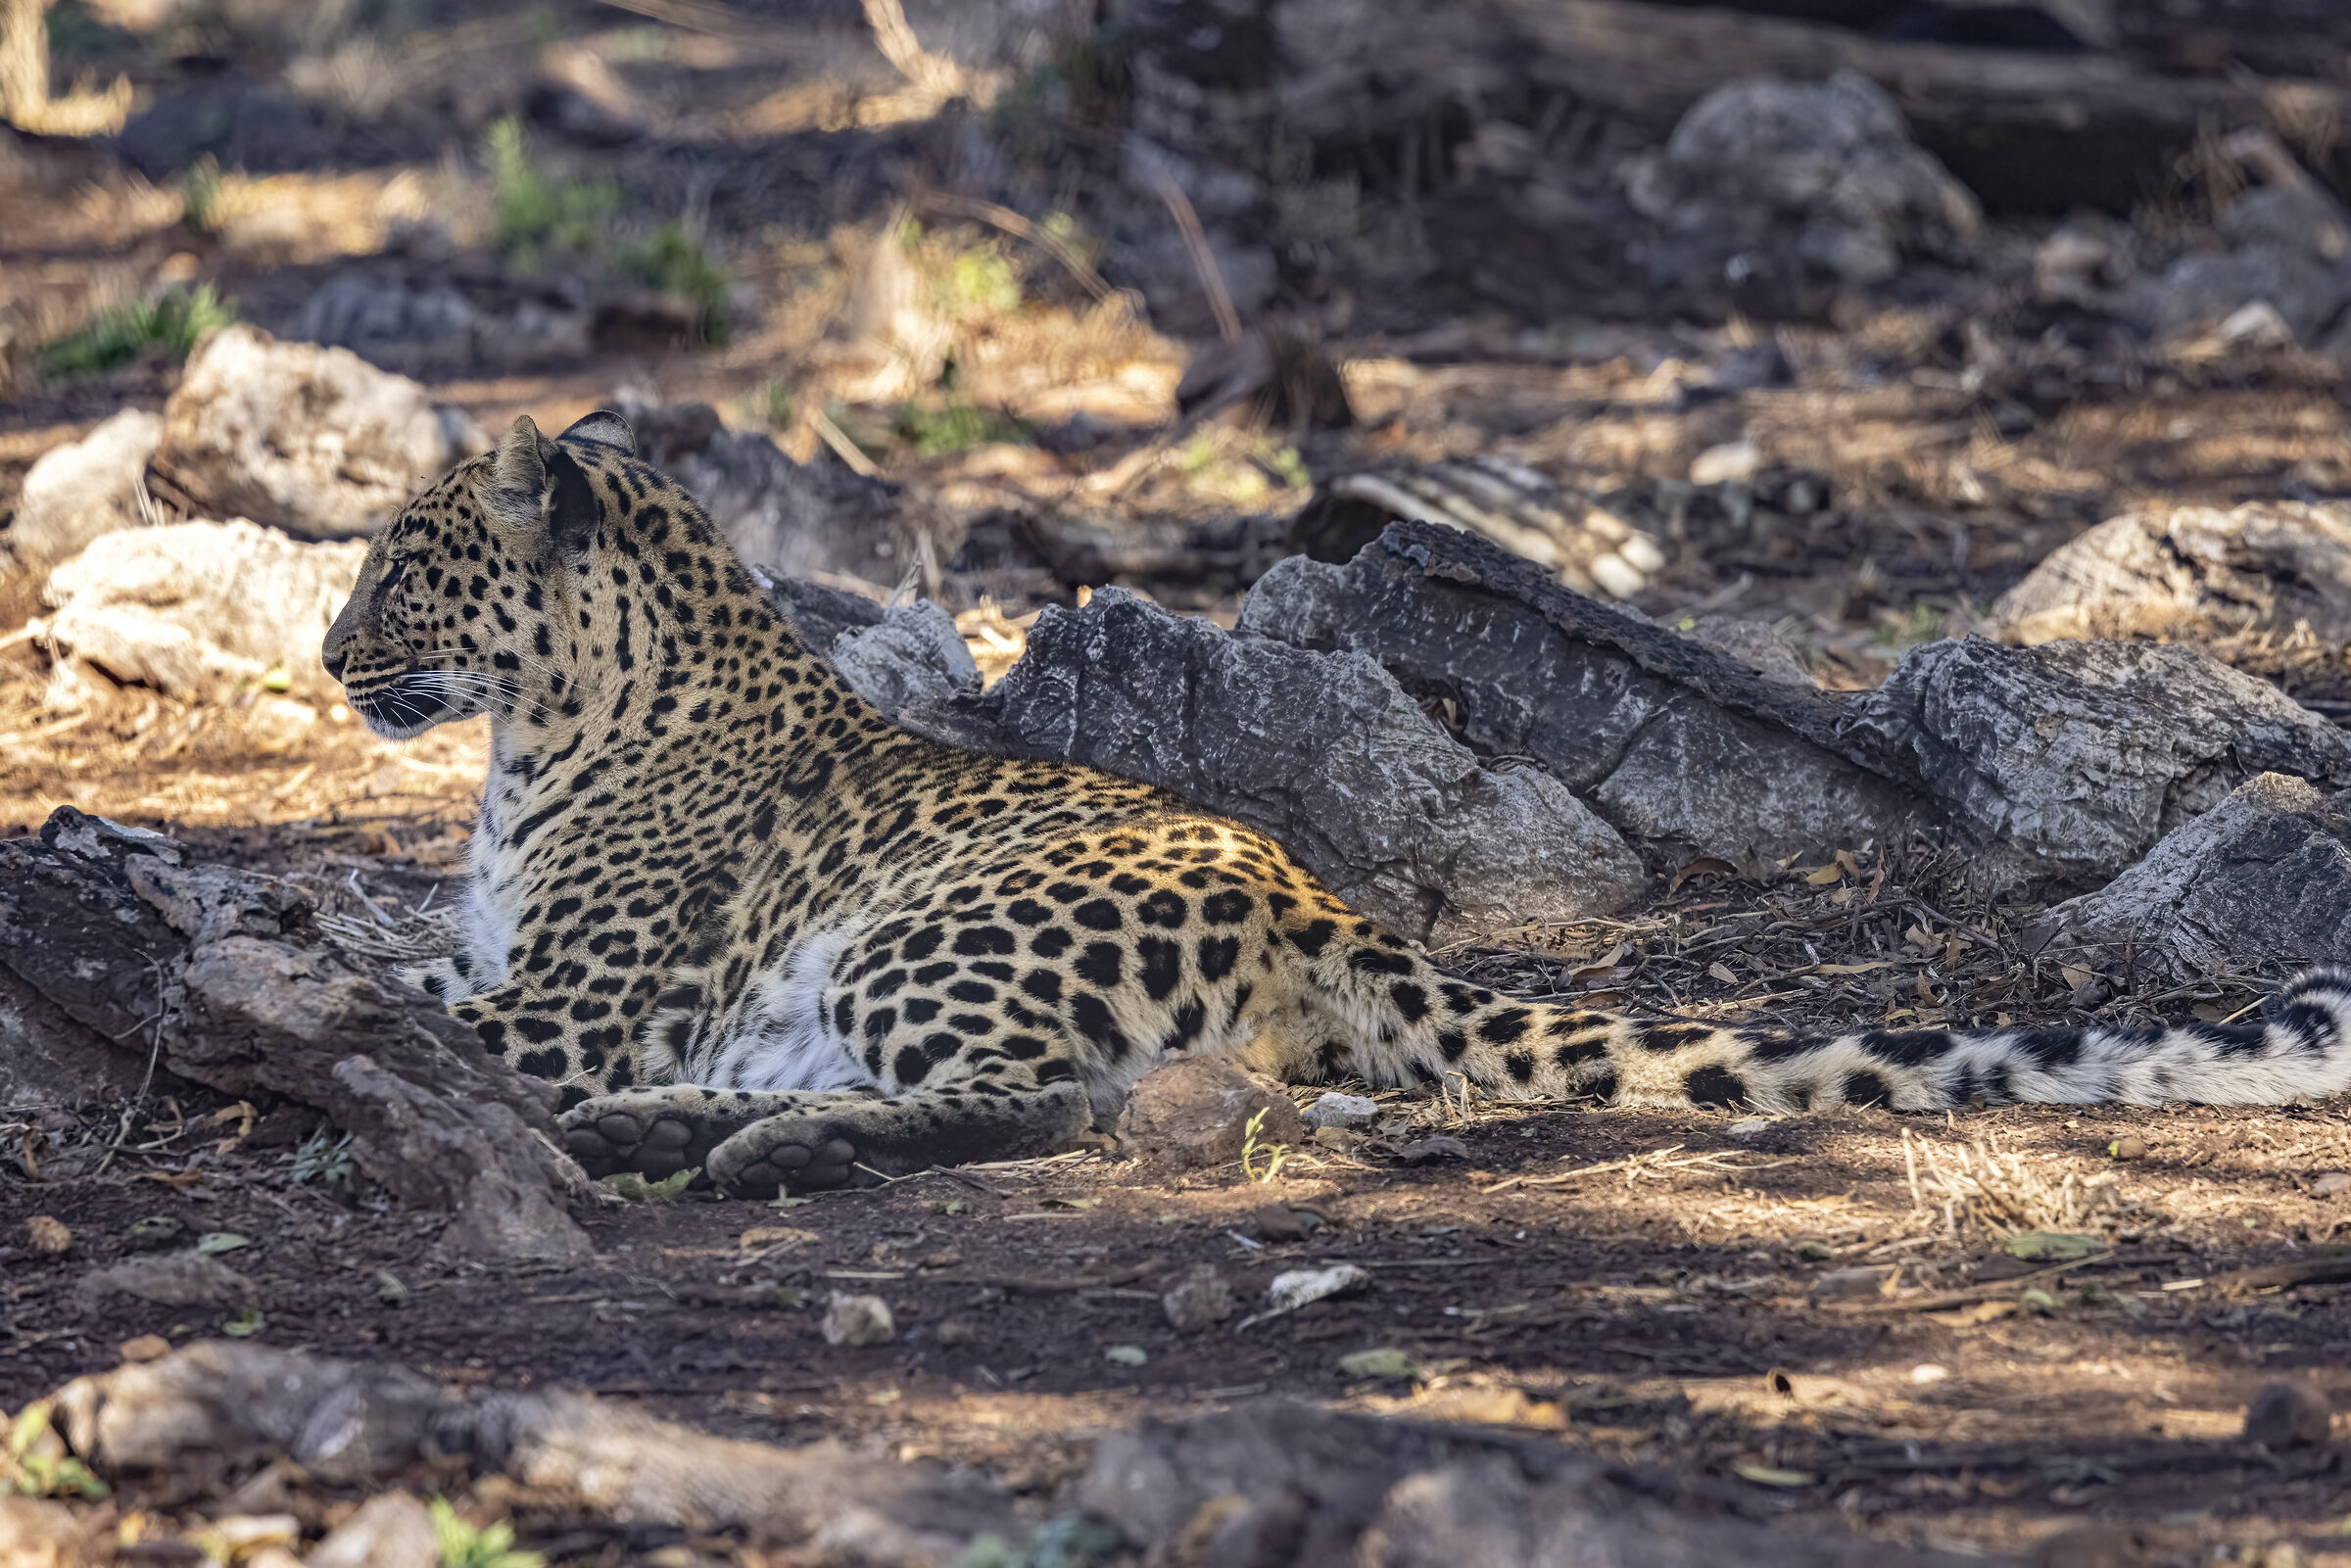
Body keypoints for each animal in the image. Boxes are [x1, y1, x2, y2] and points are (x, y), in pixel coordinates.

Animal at [321, 409, 2351, 1198]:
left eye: (406, 566)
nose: (331, 656)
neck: (545, 723)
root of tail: (1320, 901)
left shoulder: (562, 1006)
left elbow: (378, 989)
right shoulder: (516, 982)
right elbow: (381, 968)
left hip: (920, 934)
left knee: (1055, 1103)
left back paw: (718, 1145)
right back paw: (690, 1131)